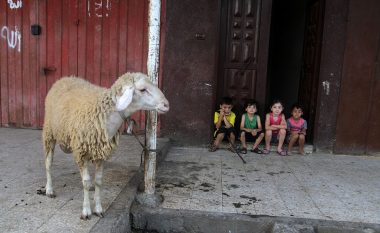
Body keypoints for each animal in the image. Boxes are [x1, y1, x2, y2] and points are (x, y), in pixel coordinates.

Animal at [41, 72, 169, 219]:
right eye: (142, 89)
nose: (166, 105)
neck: (106, 116)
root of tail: (64, 78)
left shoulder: (101, 153)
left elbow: (98, 181)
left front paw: (98, 208)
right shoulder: (80, 152)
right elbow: (85, 182)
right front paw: (86, 211)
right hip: (49, 134)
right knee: (48, 164)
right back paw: (49, 189)